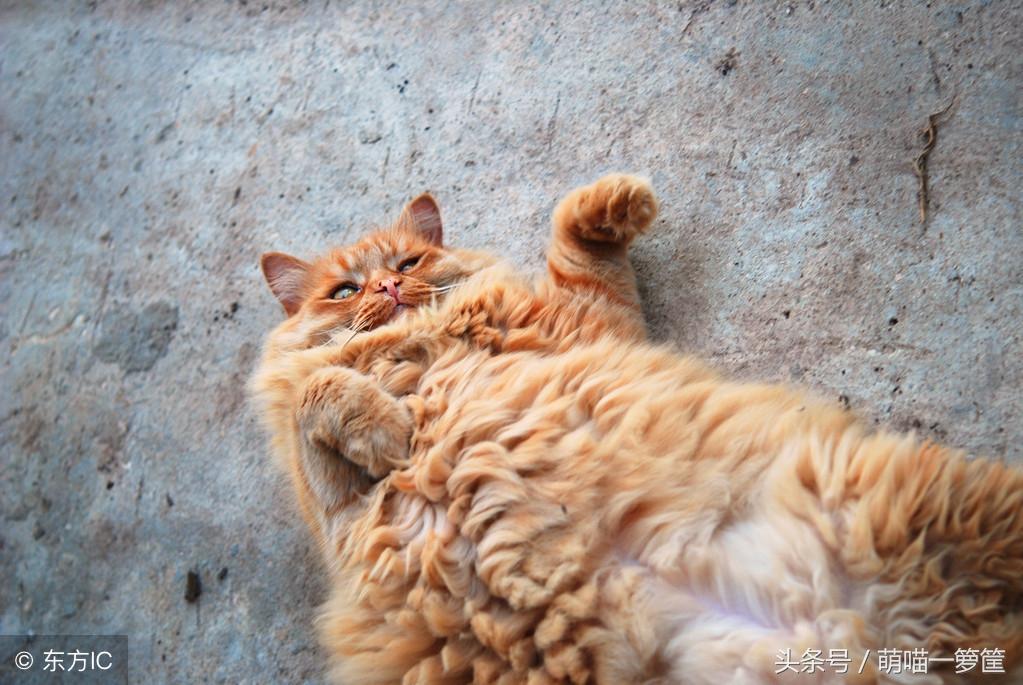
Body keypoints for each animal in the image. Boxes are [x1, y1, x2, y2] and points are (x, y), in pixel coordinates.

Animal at [250, 175, 1023, 685]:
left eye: (407, 264)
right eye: (345, 290)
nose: (385, 289)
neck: (415, 347)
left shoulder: (586, 321)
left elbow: (575, 244)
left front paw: (614, 201)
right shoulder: (335, 509)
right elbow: (319, 393)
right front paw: (384, 426)